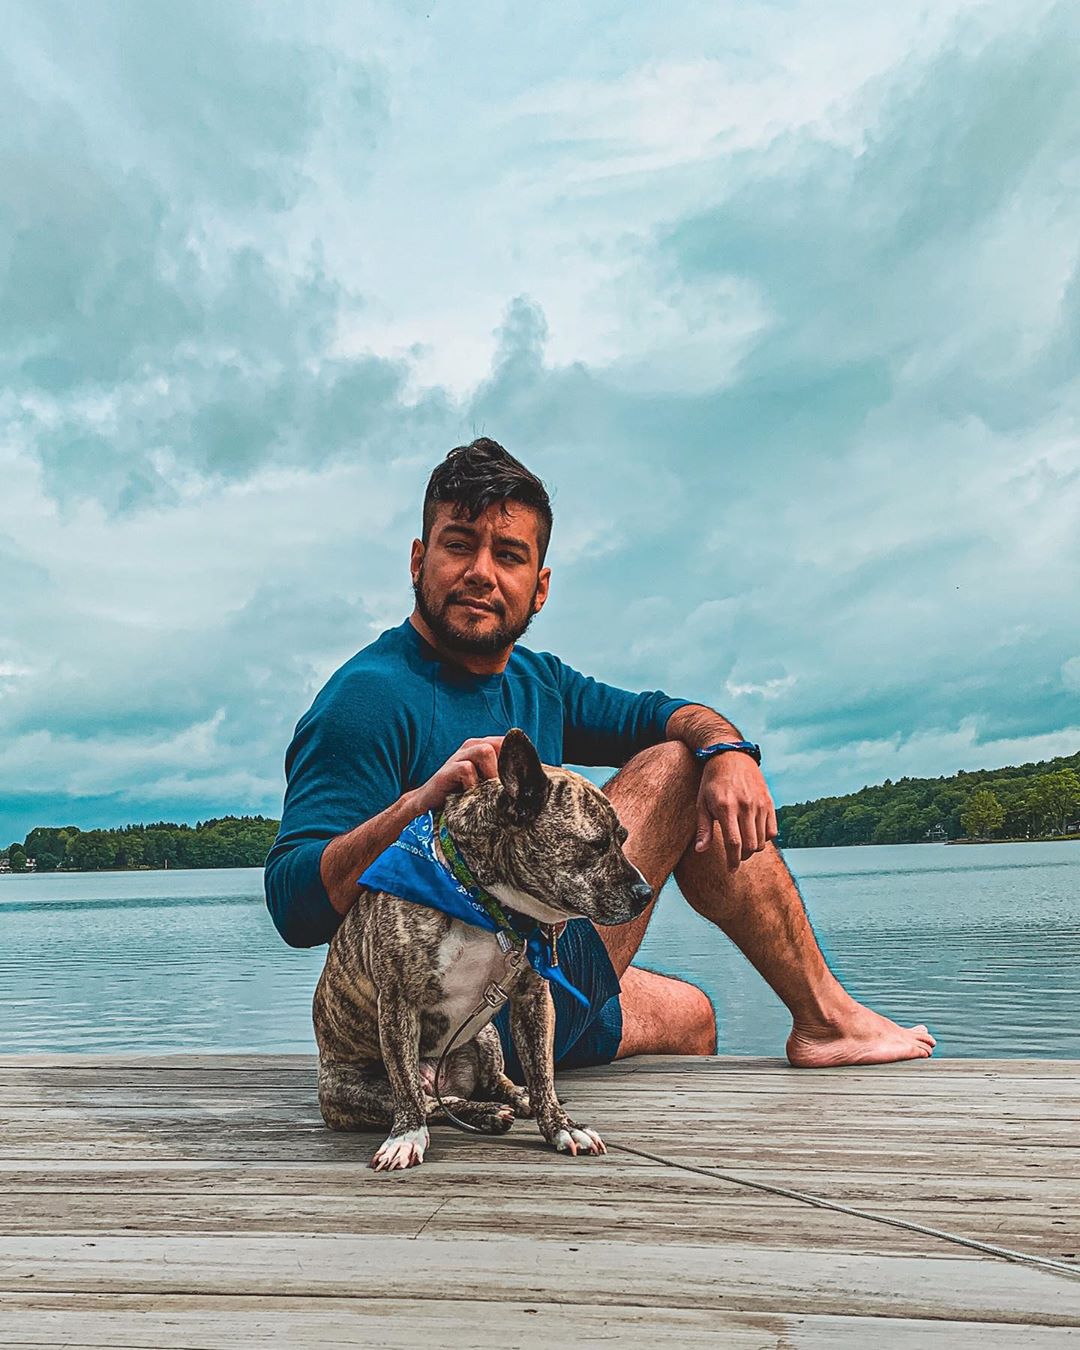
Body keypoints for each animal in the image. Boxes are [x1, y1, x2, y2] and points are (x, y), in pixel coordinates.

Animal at [310, 729, 650, 1171]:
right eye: (595, 846)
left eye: (622, 840)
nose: (645, 892)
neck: (487, 906)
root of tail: (438, 1076)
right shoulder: (398, 1003)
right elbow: (405, 1084)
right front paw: (406, 1136)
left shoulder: (532, 998)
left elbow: (542, 1071)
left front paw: (561, 1125)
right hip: (350, 1089)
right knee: (434, 1101)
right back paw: (481, 1113)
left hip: (485, 1036)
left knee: (491, 1083)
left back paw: (517, 1099)